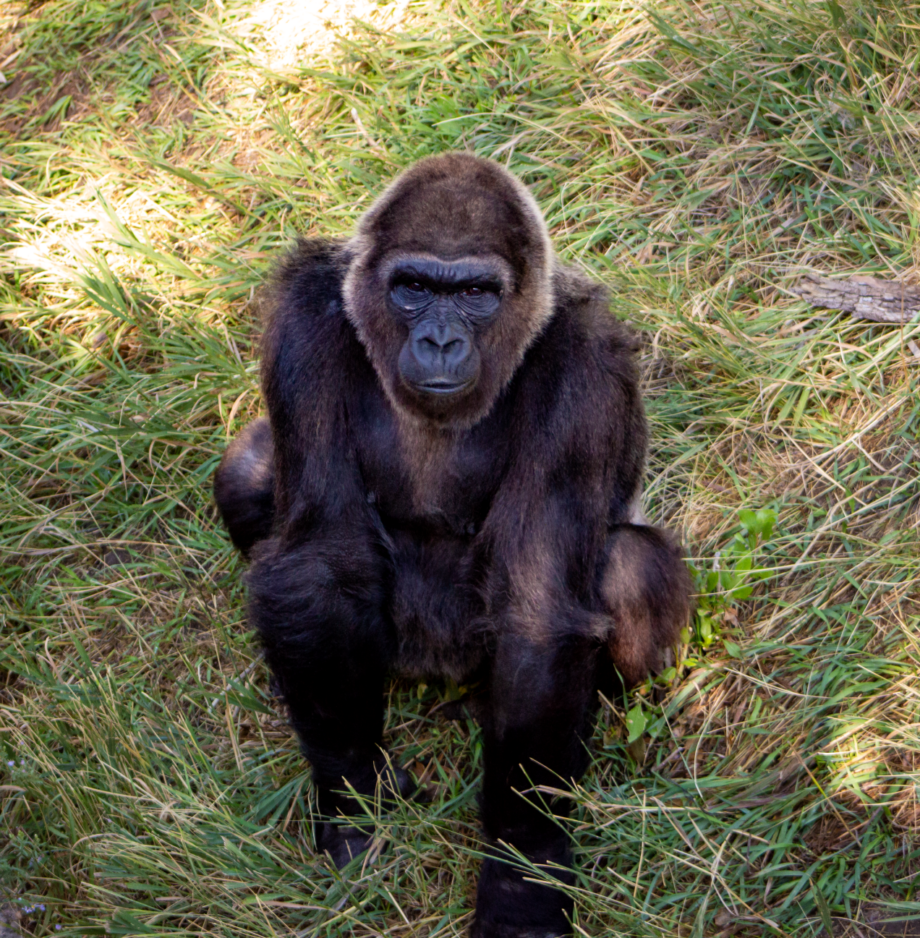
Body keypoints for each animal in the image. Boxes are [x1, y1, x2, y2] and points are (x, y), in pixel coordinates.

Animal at [214, 153, 692, 938]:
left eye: (474, 293)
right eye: (413, 288)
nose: (439, 341)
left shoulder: (585, 367)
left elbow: (537, 613)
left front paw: (522, 877)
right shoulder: (307, 321)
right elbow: (320, 565)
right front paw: (352, 791)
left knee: (629, 565)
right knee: (249, 471)